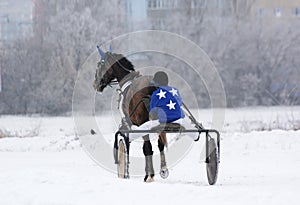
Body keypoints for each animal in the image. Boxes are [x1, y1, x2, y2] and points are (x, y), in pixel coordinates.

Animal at [92, 47, 168, 182]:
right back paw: (163, 170)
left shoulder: (130, 124)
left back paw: (149, 175)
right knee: (160, 144)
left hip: (142, 123)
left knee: (148, 147)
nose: (95, 84)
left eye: (99, 65)